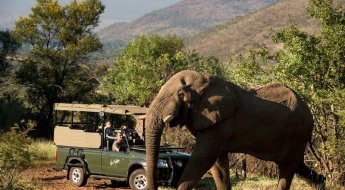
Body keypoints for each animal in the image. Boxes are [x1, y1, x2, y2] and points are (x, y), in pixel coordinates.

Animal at [144, 70, 324, 190]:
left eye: (180, 94)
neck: (205, 82)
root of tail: (310, 113)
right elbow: (218, 165)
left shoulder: (220, 122)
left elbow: (204, 158)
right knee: (297, 165)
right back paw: (322, 182)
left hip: (296, 132)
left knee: (287, 168)